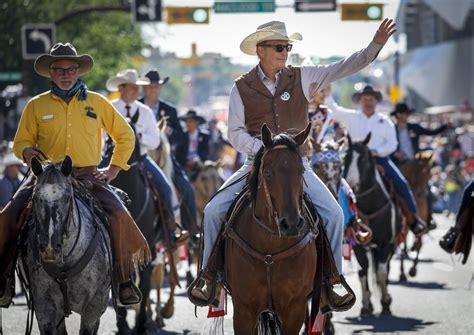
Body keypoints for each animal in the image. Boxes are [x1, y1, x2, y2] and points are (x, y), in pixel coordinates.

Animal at [223, 124, 318, 334]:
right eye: (267, 173)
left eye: (301, 171)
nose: (291, 223)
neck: (270, 248)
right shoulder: (243, 310)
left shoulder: (295, 309)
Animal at [342, 134, 402, 318]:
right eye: (346, 157)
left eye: (363, 159)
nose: (350, 185)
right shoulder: (358, 246)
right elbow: (362, 272)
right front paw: (366, 305)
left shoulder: (386, 244)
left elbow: (382, 273)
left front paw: (385, 303)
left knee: (385, 269)